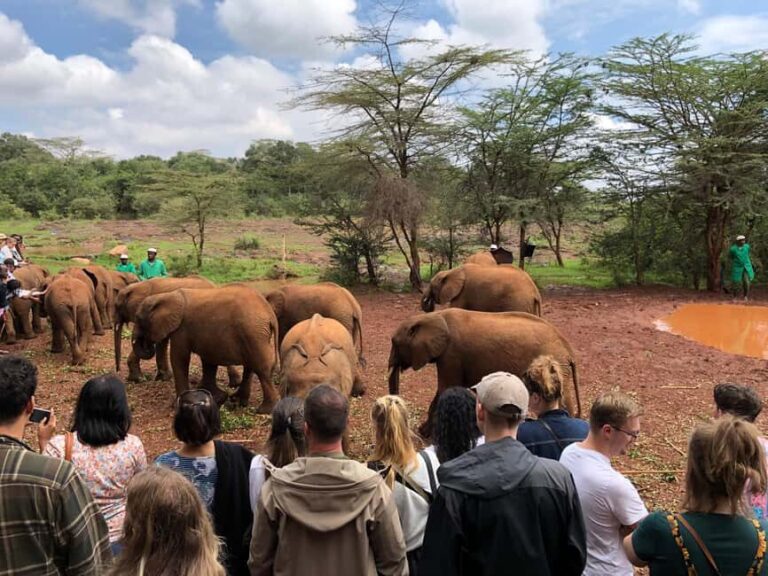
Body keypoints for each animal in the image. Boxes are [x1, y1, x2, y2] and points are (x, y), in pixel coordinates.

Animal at [131, 285, 280, 412]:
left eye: (138, 318)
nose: (147, 344)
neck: (166, 296)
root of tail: (270, 314)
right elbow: (208, 360)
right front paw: (217, 398)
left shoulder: (181, 329)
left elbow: (180, 358)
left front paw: (178, 406)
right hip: (253, 334)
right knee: (251, 367)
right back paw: (237, 402)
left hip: (253, 333)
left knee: (261, 369)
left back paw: (264, 410)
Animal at [388, 308, 580, 437]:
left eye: (394, 343)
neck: (432, 316)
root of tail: (569, 350)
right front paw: (424, 432)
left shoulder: (451, 354)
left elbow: (446, 388)